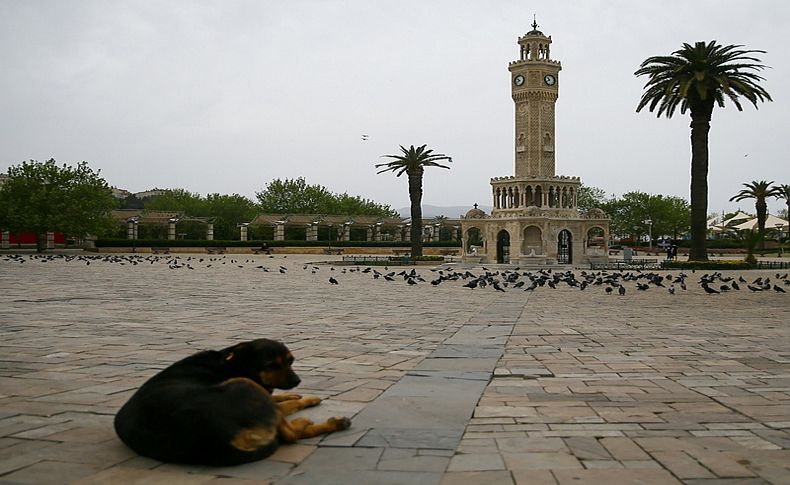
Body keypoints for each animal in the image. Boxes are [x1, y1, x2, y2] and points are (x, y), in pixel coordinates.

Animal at [114, 338, 352, 464]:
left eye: (291, 361)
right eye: (272, 365)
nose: (297, 381)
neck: (232, 361)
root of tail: (219, 441)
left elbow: (280, 397)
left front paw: (294, 394)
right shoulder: (257, 388)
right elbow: (285, 404)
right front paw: (303, 398)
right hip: (242, 384)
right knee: (291, 434)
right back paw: (322, 422)